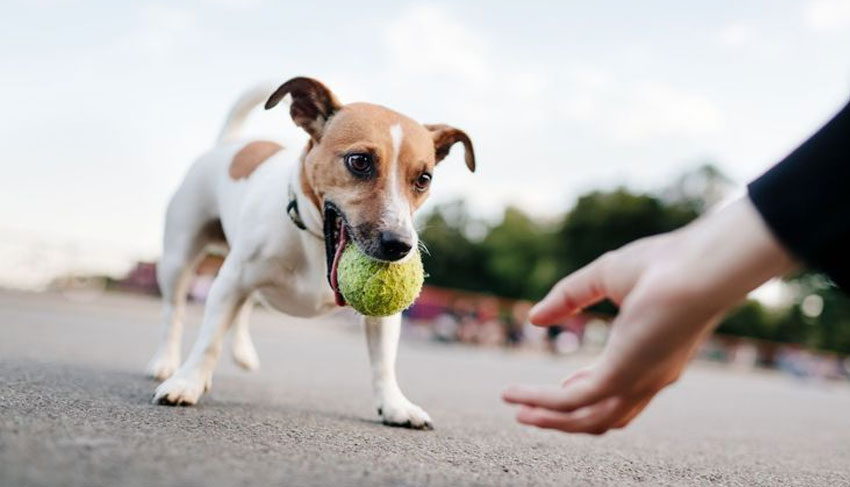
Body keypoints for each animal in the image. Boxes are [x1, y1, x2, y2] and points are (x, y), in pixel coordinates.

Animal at [147, 74, 476, 428]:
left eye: (424, 178)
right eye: (359, 161)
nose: (400, 245)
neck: (315, 242)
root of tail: (229, 145)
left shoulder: (383, 318)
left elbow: (383, 362)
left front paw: (394, 405)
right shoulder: (230, 282)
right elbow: (208, 340)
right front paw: (188, 382)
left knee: (244, 307)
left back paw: (242, 352)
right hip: (179, 258)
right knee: (174, 312)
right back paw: (166, 362)